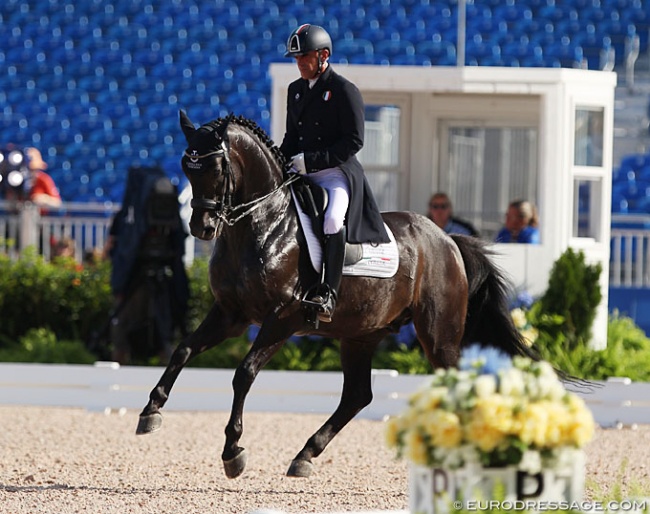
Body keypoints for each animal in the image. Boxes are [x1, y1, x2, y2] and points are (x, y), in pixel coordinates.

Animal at [134, 110, 536, 478]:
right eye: (187, 168)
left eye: (217, 168)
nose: (202, 228)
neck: (263, 225)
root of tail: (447, 239)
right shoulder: (231, 314)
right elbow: (184, 349)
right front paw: (150, 412)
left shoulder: (283, 319)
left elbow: (244, 373)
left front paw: (233, 450)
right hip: (361, 334)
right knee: (358, 395)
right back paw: (305, 456)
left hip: (438, 336)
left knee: (454, 383)